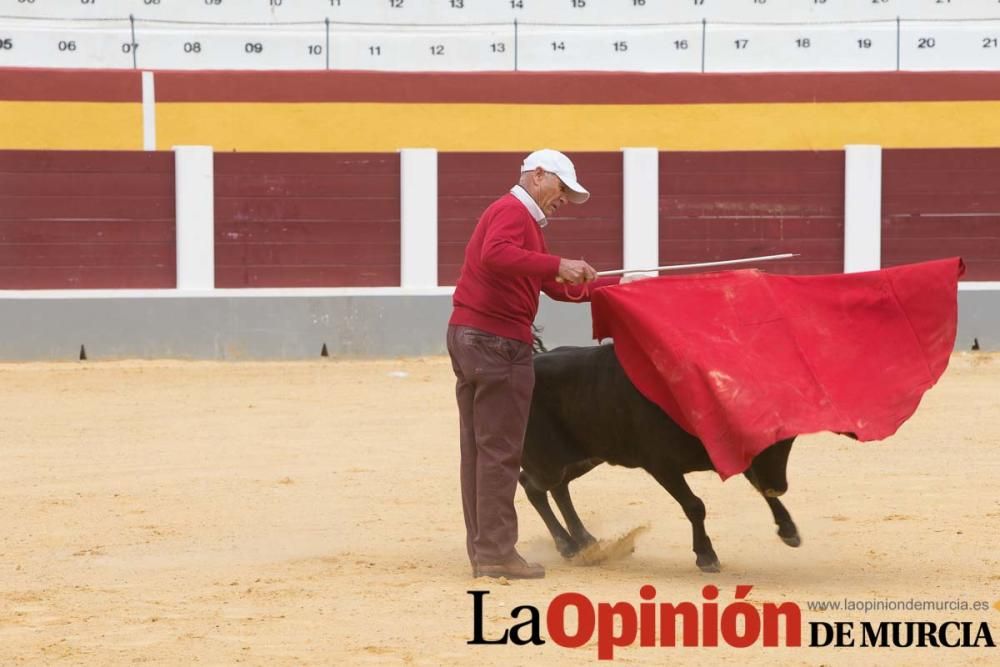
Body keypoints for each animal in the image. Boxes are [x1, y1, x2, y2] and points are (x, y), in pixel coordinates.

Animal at [520, 344, 800, 576]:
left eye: (788, 441)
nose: (778, 486)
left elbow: (759, 489)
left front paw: (789, 531)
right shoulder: (662, 466)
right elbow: (694, 505)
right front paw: (706, 557)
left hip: (585, 458)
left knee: (558, 487)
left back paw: (586, 542)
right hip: (547, 463)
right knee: (533, 487)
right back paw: (568, 546)